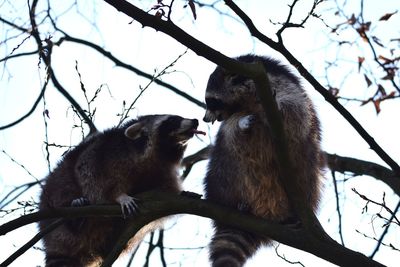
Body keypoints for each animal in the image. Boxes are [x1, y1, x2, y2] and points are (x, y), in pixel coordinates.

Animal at [39, 114, 205, 267]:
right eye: (172, 120)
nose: (195, 121)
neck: (161, 153)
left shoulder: (161, 170)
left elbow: (167, 190)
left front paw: (181, 193)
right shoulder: (107, 151)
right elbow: (89, 173)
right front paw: (119, 196)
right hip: (54, 199)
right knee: (65, 188)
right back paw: (75, 212)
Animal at [203, 55, 324, 267]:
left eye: (211, 101)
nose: (204, 119)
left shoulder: (283, 88)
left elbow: (293, 112)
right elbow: (230, 129)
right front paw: (241, 123)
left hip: (308, 173)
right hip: (226, 176)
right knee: (227, 150)